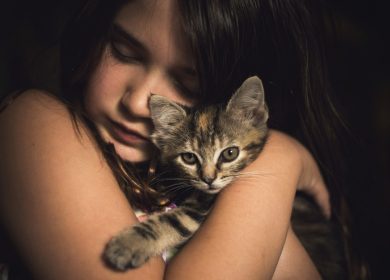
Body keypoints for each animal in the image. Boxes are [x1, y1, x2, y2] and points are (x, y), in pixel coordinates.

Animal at [103, 75, 268, 270]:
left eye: (230, 153)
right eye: (189, 157)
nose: (208, 179)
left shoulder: (199, 207)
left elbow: (173, 221)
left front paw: (127, 244)